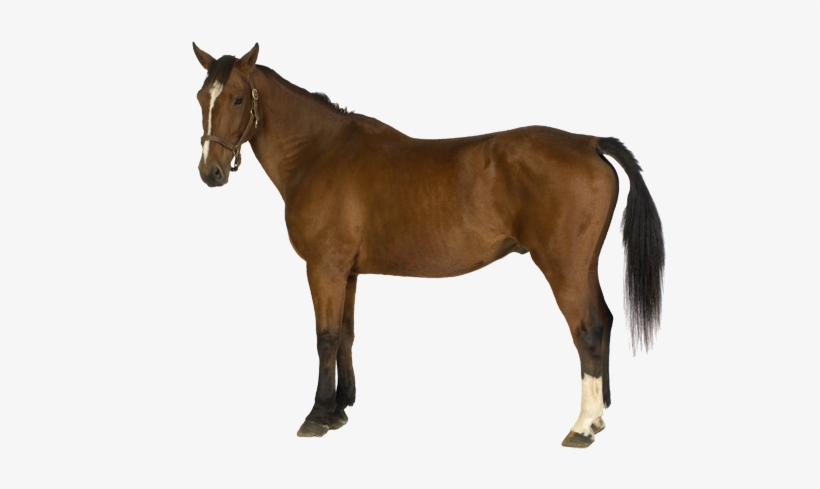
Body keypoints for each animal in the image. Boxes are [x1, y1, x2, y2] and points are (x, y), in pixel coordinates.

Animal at [192, 43, 664, 448]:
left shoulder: (323, 267)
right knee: (604, 321)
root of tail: (588, 142)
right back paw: (599, 416)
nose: (211, 172)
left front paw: (317, 415)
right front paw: (341, 408)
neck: (319, 153)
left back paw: (582, 426)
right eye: (201, 98)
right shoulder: (347, 272)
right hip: (584, 265)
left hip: (563, 267)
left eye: (238, 99)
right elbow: (346, 335)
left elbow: (325, 337)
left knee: (587, 328)